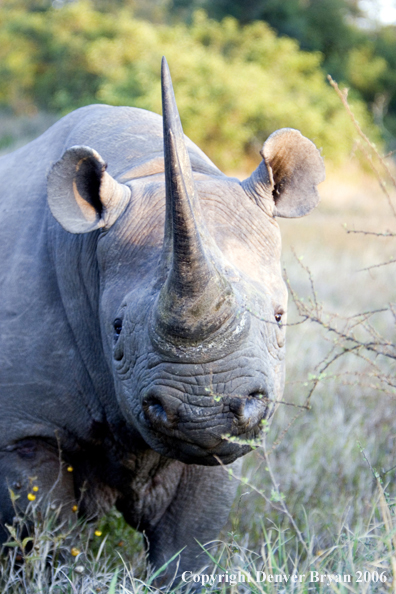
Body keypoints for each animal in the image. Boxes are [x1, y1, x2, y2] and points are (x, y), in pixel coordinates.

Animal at [0, 57, 324, 576]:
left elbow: (187, 538)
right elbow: (47, 532)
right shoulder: (23, 429)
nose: (203, 415)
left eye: (279, 318)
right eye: (115, 329)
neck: (145, 167)